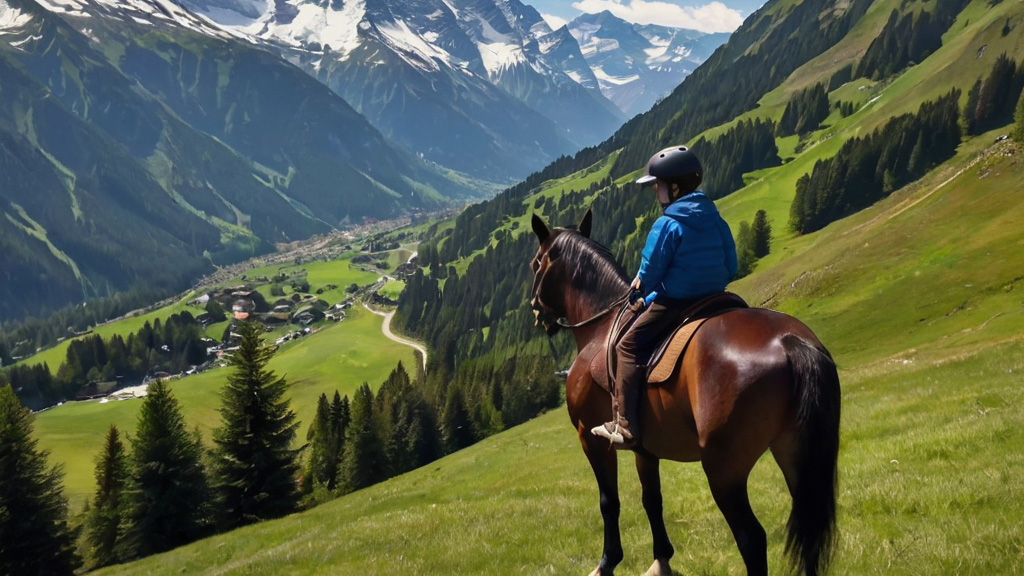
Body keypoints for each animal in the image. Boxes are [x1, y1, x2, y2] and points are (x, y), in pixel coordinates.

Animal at [529, 210, 840, 576]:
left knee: (751, 538)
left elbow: (609, 501)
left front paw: (607, 561)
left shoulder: (589, 438)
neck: (600, 328)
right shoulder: (644, 448)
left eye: (536, 263)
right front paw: (661, 559)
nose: (536, 311)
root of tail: (790, 343)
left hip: (723, 469)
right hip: (795, 453)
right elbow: (652, 499)